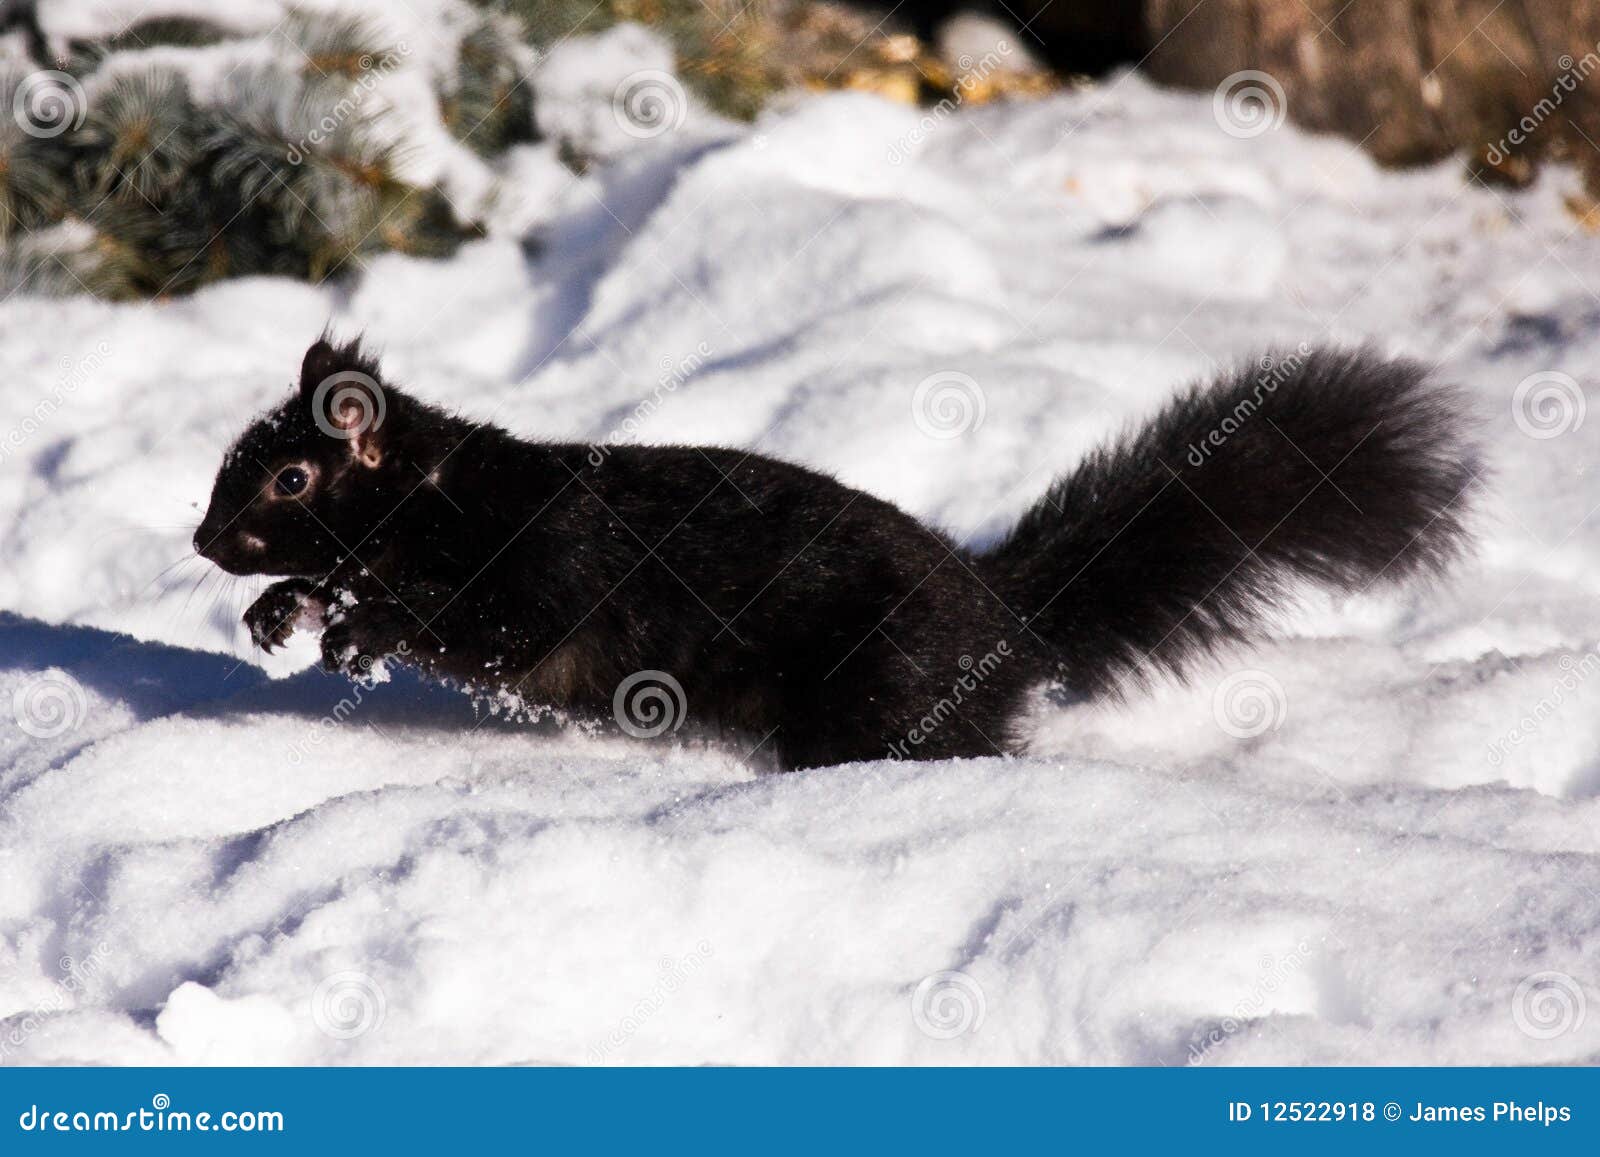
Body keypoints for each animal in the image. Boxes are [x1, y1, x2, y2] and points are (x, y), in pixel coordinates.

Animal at [196, 334, 1472, 768]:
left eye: (292, 477)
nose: (205, 539)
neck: (445, 496)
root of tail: (1003, 613)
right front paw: (286, 611)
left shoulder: (546, 561)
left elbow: (490, 623)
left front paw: (362, 629)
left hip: (880, 688)